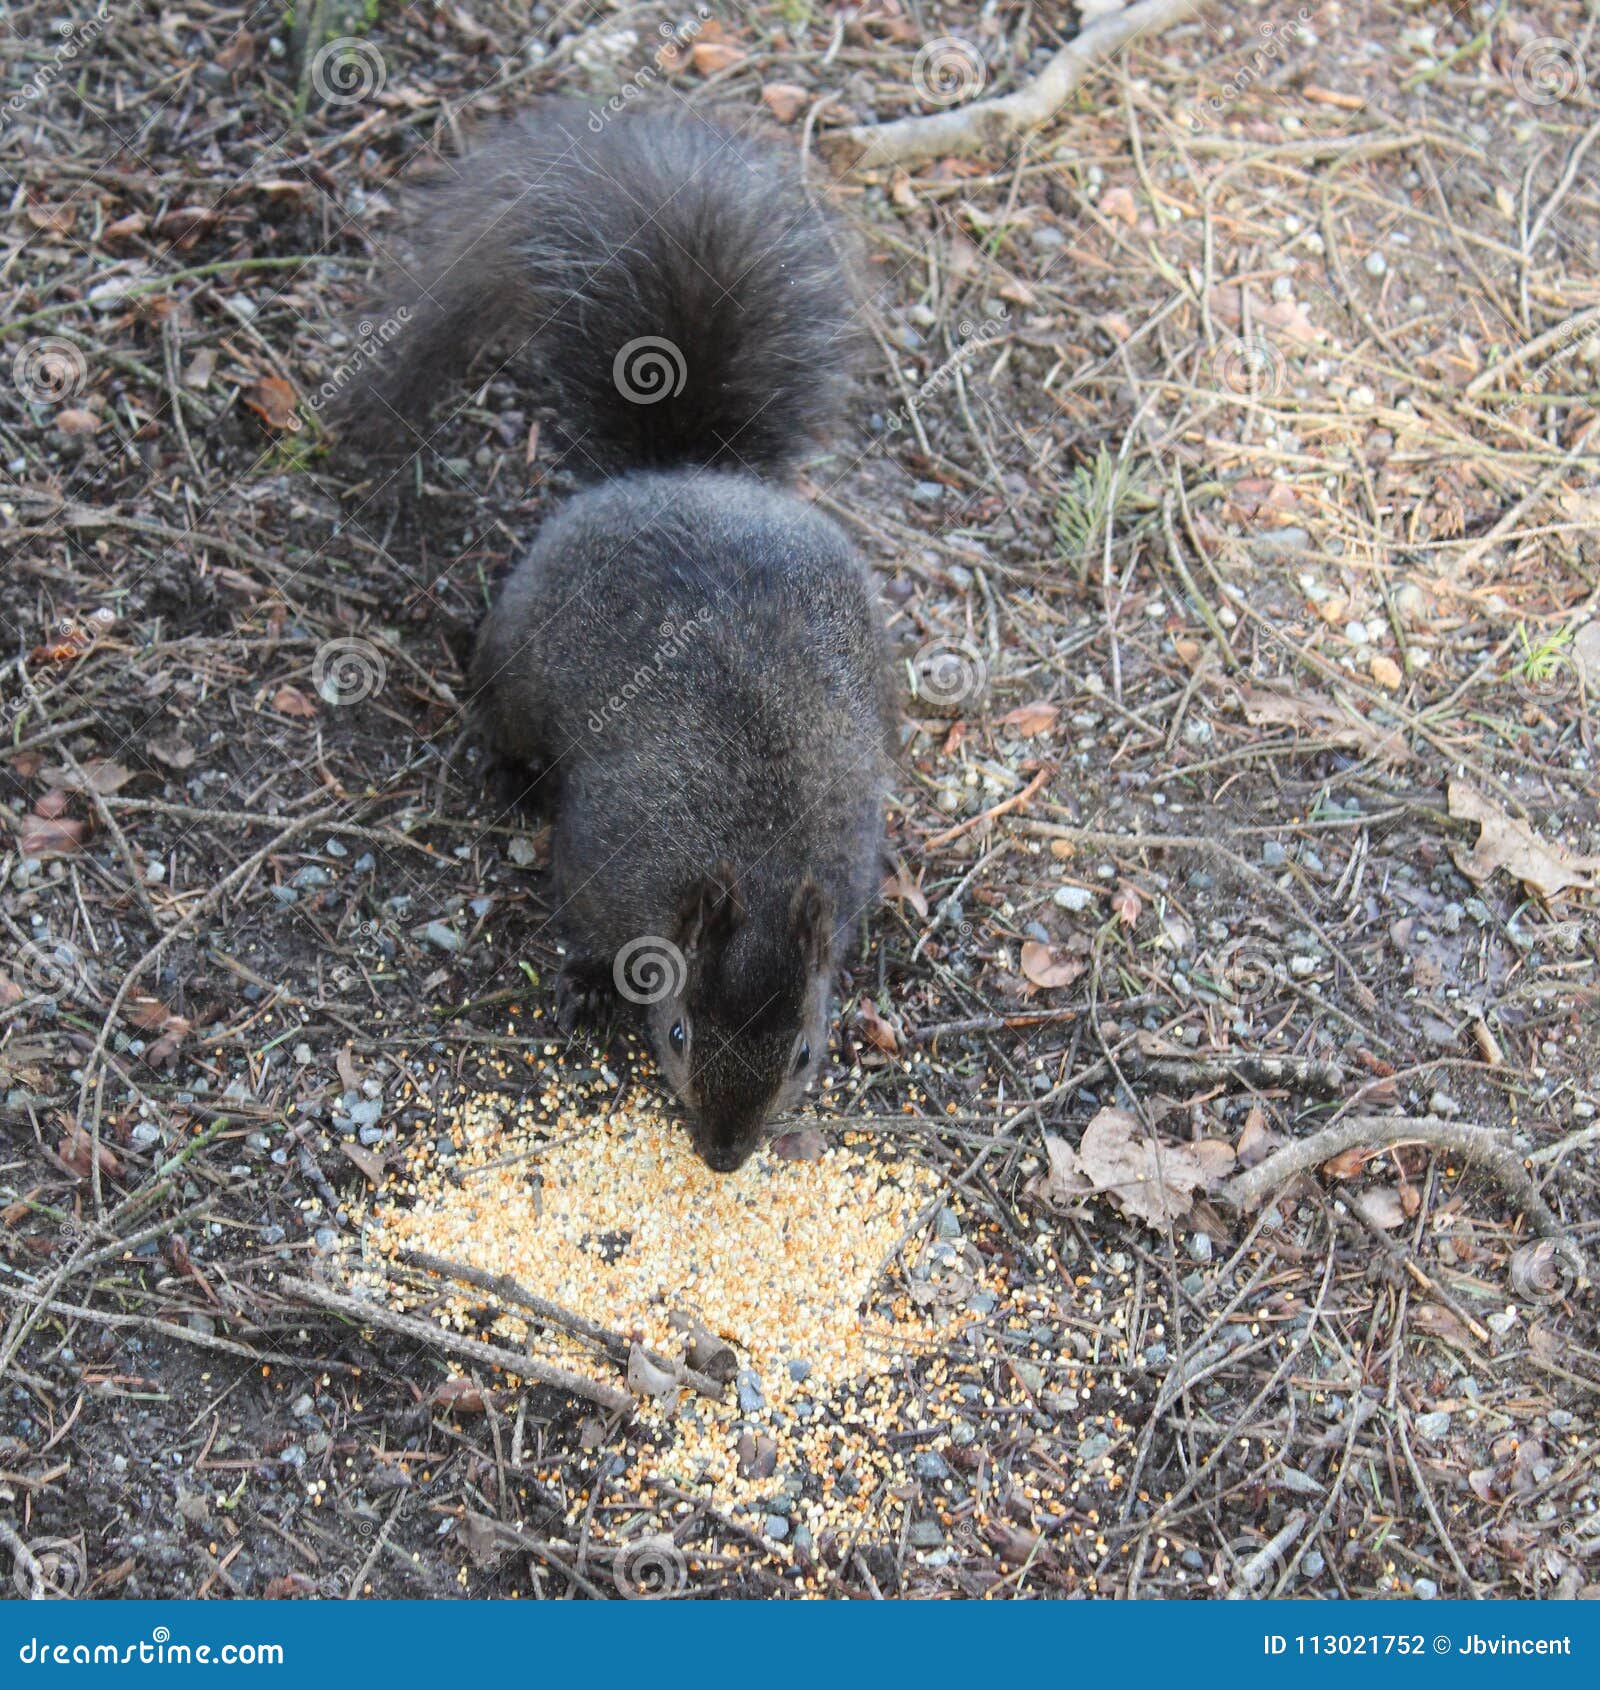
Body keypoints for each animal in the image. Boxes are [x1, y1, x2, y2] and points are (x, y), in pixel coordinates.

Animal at [337, 103, 893, 1172]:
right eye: (675, 1031)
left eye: (808, 1052)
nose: (724, 1158)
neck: (754, 858)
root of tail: (680, 473)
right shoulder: (603, 858)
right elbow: (586, 926)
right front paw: (592, 986)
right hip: (516, 663)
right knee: (500, 718)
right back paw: (510, 779)